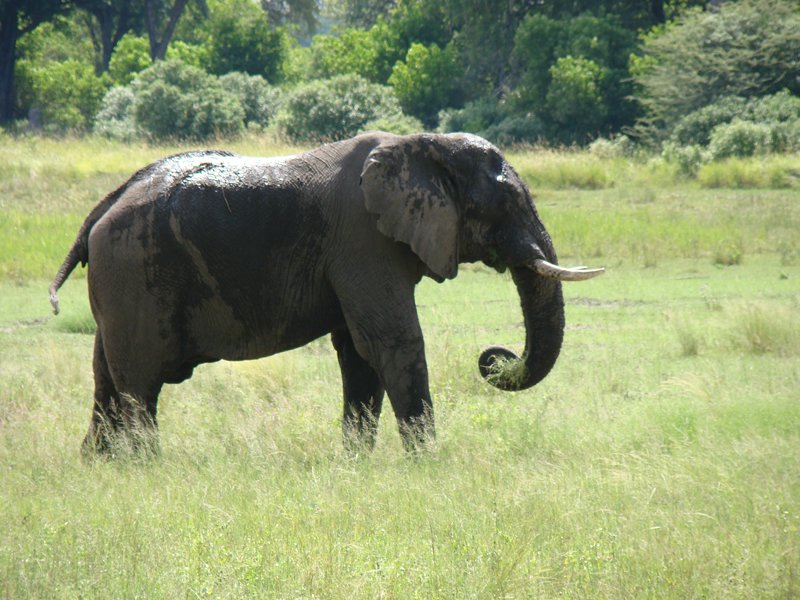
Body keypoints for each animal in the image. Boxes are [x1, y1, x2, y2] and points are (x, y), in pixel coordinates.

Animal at [48, 131, 600, 454]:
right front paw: (427, 465)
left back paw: (102, 468)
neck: (422, 144)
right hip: (134, 270)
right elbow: (393, 341)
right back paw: (149, 469)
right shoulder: (363, 240)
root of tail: (101, 209)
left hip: (120, 280)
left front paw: (355, 464)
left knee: (107, 380)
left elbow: (359, 352)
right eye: (504, 202)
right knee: (140, 385)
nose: (492, 357)